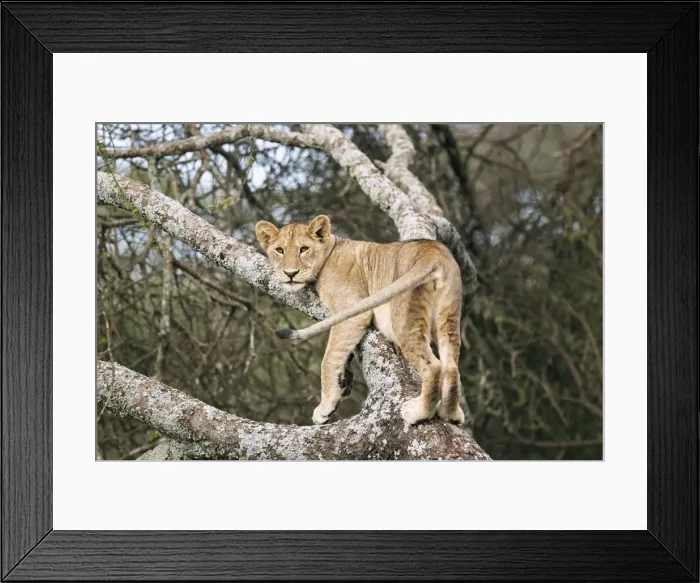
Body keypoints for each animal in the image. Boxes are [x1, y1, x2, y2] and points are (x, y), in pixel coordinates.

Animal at [255, 215, 466, 427]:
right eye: (279, 250)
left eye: (304, 249)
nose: (290, 274)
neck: (330, 251)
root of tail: (432, 254)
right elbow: (342, 352)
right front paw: (344, 381)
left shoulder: (352, 311)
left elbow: (329, 358)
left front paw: (325, 408)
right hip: (449, 316)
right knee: (452, 367)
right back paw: (450, 414)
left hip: (404, 318)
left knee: (433, 366)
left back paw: (419, 413)